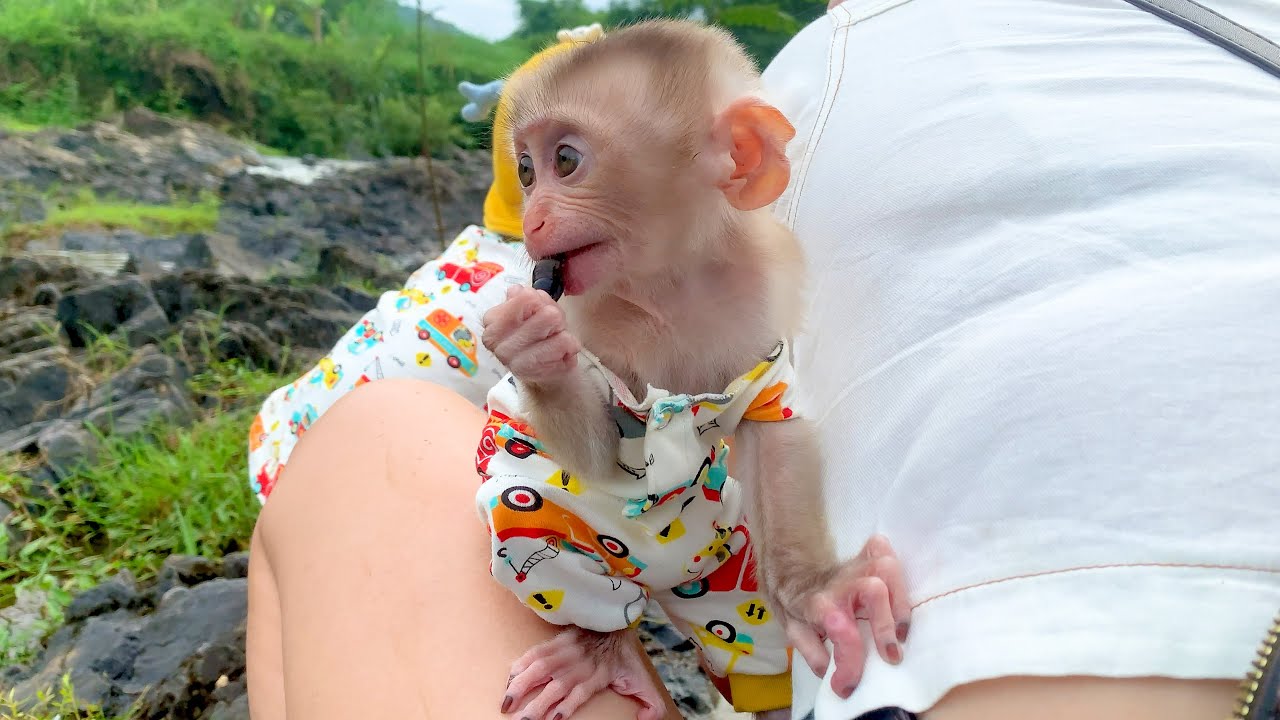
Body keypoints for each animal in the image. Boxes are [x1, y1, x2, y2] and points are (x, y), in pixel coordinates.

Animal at [476, 20, 911, 720]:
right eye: (524, 171)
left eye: (563, 161)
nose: (534, 218)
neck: (669, 283)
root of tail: (660, 586)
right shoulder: (585, 314)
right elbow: (599, 454)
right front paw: (530, 347)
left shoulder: (764, 293)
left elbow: (773, 426)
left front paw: (816, 592)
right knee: (529, 505)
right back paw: (602, 648)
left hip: (725, 564)